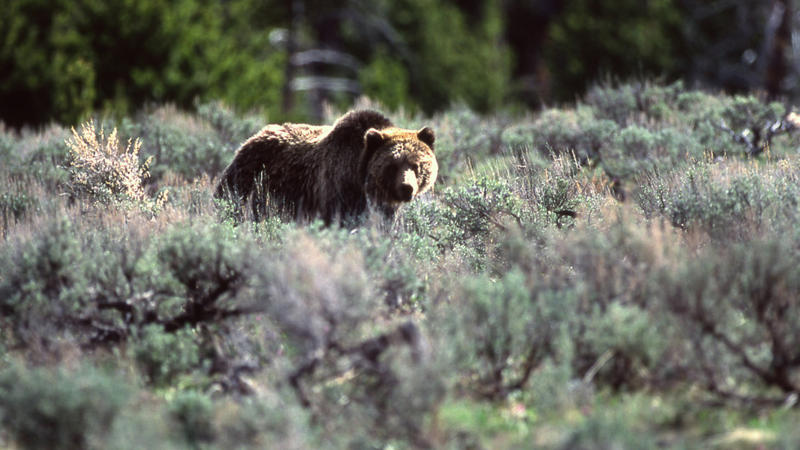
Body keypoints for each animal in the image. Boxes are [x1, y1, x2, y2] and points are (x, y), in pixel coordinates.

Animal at [214, 110, 438, 223]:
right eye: (392, 165)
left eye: (416, 165)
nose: (406, 188)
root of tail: (255, 135)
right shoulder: (337, 188)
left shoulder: (382, 206)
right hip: (250, 174)